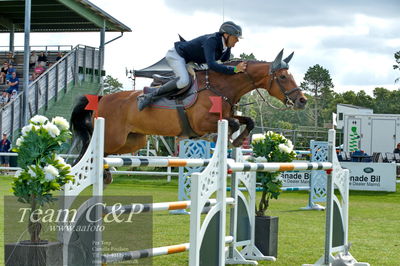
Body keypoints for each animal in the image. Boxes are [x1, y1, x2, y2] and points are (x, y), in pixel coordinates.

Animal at [71, 49, 306, 157]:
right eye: (283, 77)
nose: (302, 101)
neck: (221, 86)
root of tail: (102, 98)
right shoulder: (202, 122)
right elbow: (233, 124)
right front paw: (228, 138)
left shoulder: (227, 114)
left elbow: (248, 121)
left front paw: (238, 141)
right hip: (113, 137)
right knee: (90, 151)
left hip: (132, 141)